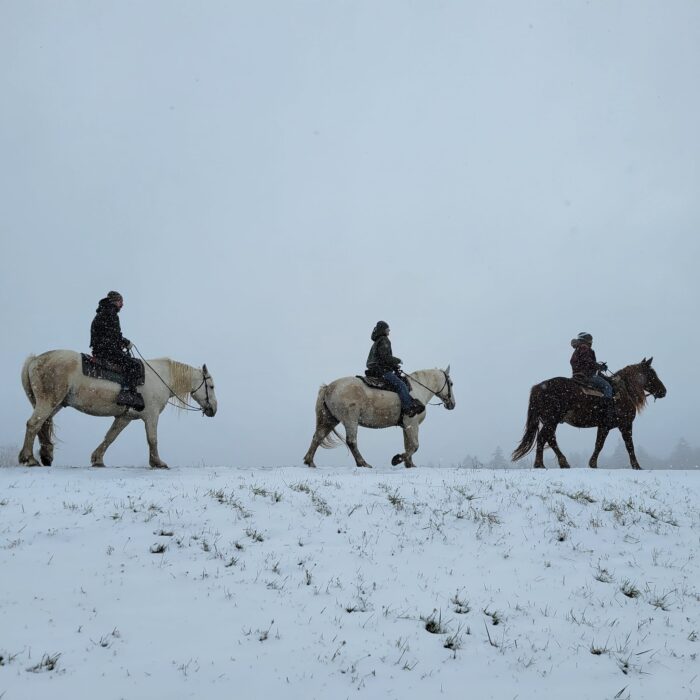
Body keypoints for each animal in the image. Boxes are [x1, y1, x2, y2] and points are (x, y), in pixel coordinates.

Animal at [19, 350, 216, 470]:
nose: (213, 409)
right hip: (49, 401)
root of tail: (35, 359)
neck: (161, 377)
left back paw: (45, 456)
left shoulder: (124, 417)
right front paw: (157, 462)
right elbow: (152, 439)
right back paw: (29, 459)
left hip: (55, 404)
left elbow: (110, 437)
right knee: (33, 424)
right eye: (211, 386)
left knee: (42, 426)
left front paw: (97, 459)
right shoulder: (151, 416)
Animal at [304, 366, 456, 470]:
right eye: (451, 383)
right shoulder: (412, 423)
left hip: (330, 419)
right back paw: (363, 463)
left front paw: (410, 464)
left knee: (318, 437)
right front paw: (397, 459)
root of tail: (329, 387)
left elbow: (408, 445)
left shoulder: (406, 426)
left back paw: (310, 461)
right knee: (351, 441)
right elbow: (414, 445)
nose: (452, 404)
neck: (418, 389)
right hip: (350, 420)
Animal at [516, 358, 668, 468]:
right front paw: (636, 466)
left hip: (551, 421)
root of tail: (539, 387)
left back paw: (561, 462)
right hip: (551, 420)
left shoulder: (604, 426)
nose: (663, 391)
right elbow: (628, 445)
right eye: (652, 374)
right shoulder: (625, 425)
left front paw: (593, 463)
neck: (624, 391)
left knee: (550, 438)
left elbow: (599, 444)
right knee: (543, 438)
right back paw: (541, 464)